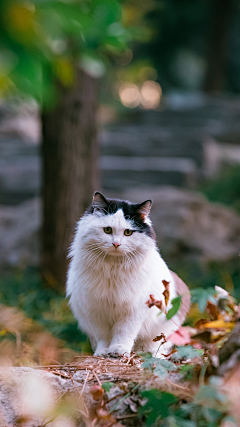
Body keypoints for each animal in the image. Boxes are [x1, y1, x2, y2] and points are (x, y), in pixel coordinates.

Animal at [66, 191, 190, 358]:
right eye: (107, 230)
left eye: (128, 232)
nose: (116, 244)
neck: (112, 269)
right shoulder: (95, 309)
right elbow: (103, 336)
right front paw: (103, 352)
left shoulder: (133, 309)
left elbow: (123, 333)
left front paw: (118, 350)